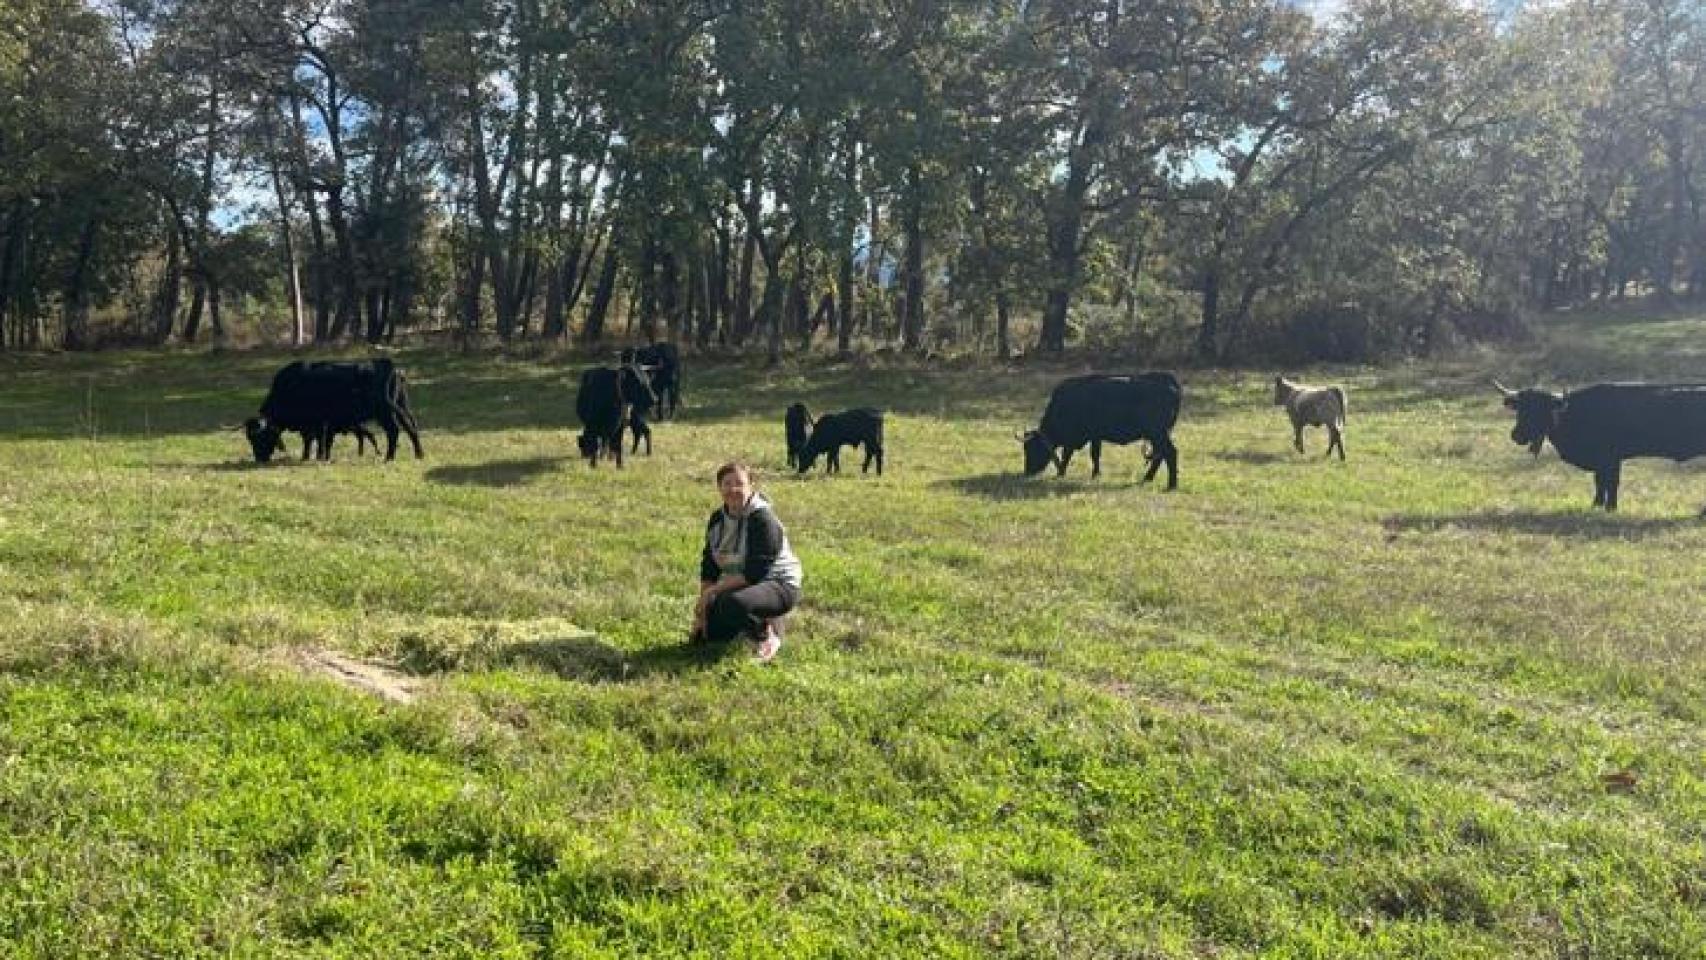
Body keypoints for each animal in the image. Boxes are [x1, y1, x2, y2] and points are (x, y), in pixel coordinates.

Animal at [243, 361, 423, 467]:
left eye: (260, 437)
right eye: (249, 439)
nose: (259, 459)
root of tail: (391, 366)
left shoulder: (315, 422)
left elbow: (315, 439)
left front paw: (315, 456)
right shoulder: (319, 423)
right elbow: (316, 440)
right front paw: (311, 456)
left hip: (385, 413)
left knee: (394, 431)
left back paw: (389, 458)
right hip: (402, 408)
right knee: (412, 428)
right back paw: (419, 454)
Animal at [1016, 370, 1180, 487]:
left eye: (1031, 449)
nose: (1027, 472)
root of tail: (1167, 380)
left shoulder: (1074, 438)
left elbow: (1067, 455)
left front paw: (1060, 473)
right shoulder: (1095, 436)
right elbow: (1094, 455)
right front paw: (1095, 474)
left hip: (1158, 433)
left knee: (1170, 452)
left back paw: (1171, 485)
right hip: (1157, 434)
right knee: (1159, 455)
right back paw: (1148, 478)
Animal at [1501, 380, 1706, 511]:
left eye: (1540, 409)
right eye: (1520, 409)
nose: (1516, 435)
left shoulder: (1610, 458)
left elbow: (1610, 482)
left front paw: (1610, 507)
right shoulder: (1604, 461)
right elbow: (1600, 482)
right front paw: (1598, 505)